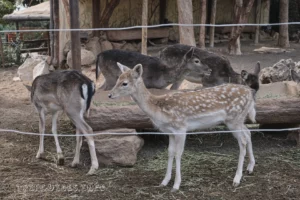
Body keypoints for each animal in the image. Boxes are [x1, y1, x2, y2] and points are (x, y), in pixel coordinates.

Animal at [109, 62, 256, 191]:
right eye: (117, 79)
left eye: (124, 83)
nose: (110, 95)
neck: (158, 109)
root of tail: (249, 92)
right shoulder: (170, 132)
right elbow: (170, 152)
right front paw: (164, 182)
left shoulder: (181, 128)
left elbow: (178, 154)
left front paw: (176, 185)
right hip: (238, 120)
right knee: (248, 133)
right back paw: (250, 168)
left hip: (234, 118)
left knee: (243, 140)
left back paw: (237, 179)